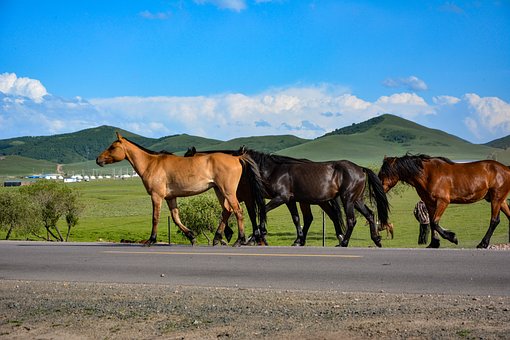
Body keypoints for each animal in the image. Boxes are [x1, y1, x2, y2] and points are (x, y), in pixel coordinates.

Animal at [94, 131, 266, 246]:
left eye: (112, 147)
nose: (98, 159)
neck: (151, 163)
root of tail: (237, 158)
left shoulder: (156, 196)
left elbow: (155, 217)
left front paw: (151, 240)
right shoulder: (171, 198)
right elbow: (176, 218)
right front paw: (191, 236)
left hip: (228, 191)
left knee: (238, 211)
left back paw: (239, 240)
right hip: (219, 191)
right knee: (227, 211)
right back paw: (217, 238)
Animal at [378, 154, 510, 247]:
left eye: (384, 172)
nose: (378, 188)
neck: (428, 174)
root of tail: (506, 169)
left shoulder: (443, 202)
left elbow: (435, 222)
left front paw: (452, 237)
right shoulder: (430, 204)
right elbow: (432, 224)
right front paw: (434, 243)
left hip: (496, 199)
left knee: (494, 221)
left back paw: (483, 243)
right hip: (500, 200)